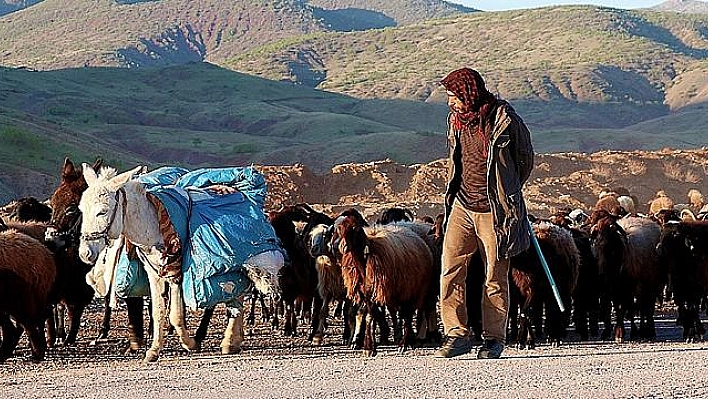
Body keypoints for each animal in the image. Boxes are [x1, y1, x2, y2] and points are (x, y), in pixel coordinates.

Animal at [76, 164, 278, 364]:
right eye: (82, 209)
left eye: (102, 211)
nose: (85, 254)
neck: (152, 222)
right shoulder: (154, 272)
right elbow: (158, 312)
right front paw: (154, 350)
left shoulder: (177, 274)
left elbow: (175, 315)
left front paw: (190, 344)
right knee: (237, 295)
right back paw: (234, 340)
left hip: (249, 262)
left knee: (240, 294)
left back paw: (229, 340)